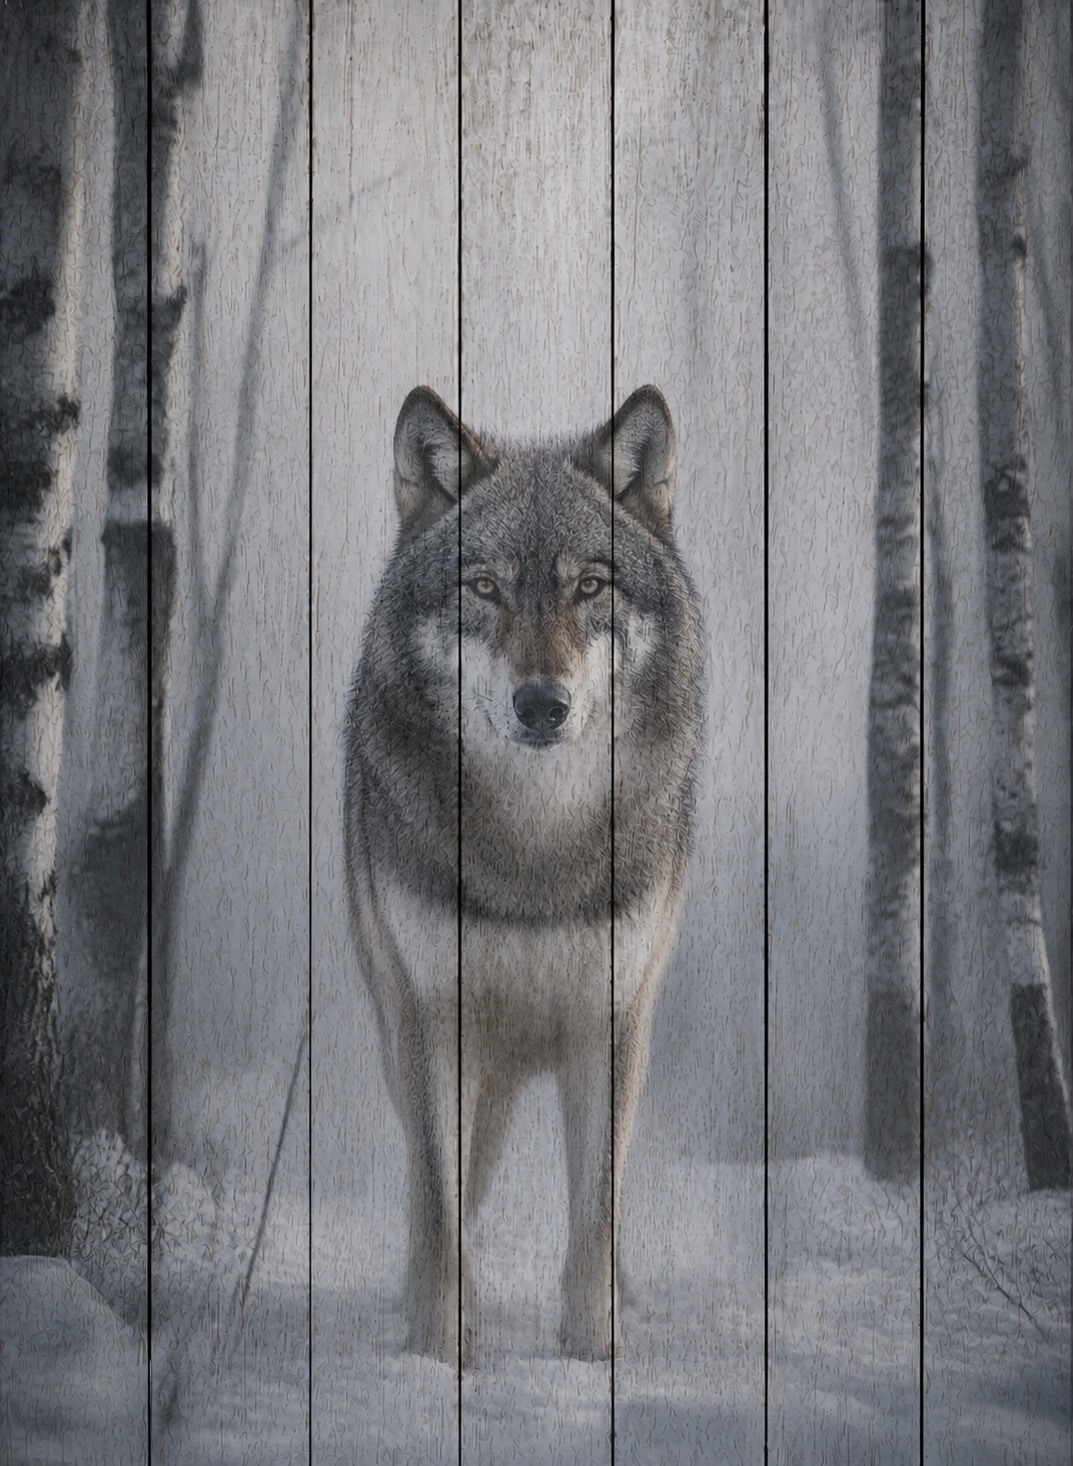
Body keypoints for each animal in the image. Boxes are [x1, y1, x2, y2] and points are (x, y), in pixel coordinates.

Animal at [344, 385, 702, 1365]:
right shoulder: (434, 1018)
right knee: (438, 1186)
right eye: (483, 586)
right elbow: (440, 1200)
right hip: (405, 1033)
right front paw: (440, 1350)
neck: (535, 848)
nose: (542, 704)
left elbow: (596, 1208)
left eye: (589, 586)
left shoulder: (612, 1022)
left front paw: (593, 1349)